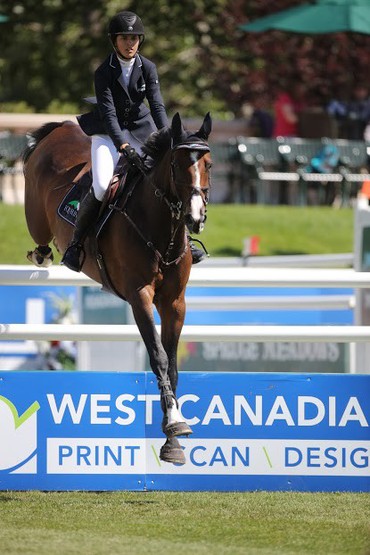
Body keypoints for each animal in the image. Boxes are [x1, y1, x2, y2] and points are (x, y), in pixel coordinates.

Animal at [23, 113, 212, 464]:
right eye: (178, 164)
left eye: (209, 164)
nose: (196, 217)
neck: (161, 229)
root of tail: (61, 127)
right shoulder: (140, 297)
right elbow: (158, 357)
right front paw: (174, 424)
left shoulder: (175, 303)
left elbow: (173, 365)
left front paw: (173, 439)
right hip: (36, 217)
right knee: (41, 241)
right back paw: (46, 255)